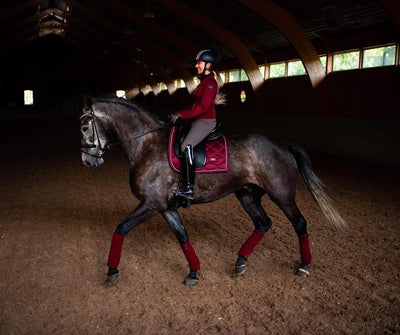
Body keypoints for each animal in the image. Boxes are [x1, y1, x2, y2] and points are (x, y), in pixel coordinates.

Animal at [79, 96, 346, 288]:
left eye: (83, 127)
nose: (88, 161)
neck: (147, 145)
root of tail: (283, 146)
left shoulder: (151, 204)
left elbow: (121, 228)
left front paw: (112, 271)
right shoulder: (165, 207)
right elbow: (182, 237)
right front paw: (193, 273)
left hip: (282, 194)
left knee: (299, 223)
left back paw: (303, 266)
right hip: (247, 195)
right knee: (263, 223)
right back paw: (240, 263)